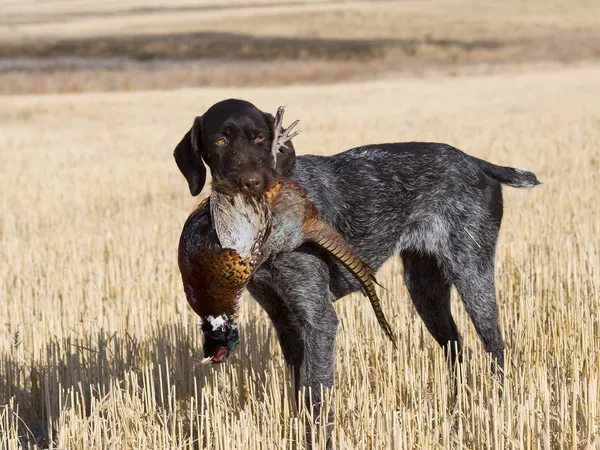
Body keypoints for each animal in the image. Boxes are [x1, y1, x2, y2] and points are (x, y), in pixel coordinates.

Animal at [172, 97, 540, 440]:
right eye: (221, 140)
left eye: (260, 137)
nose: (251, 183)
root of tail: (477, 162)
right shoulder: (284, 319)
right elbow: (300, 390)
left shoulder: (318, 319)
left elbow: (317, 396)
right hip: (426, 291)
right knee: (458, 350)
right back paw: (457, 409)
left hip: (473, 277)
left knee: (497, 351)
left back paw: (498, 408)